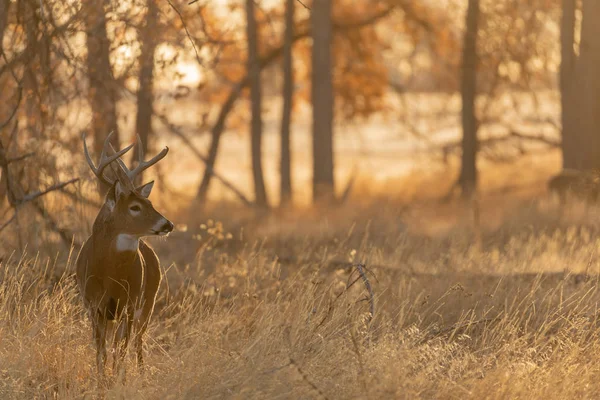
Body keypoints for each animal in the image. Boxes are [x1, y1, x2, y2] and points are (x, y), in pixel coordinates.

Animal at [75, 132, 173, 378]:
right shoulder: (93, 305)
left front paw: (118, 379)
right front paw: (102, 381)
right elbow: (101, 352)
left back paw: (141, 375)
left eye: (150, 202)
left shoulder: (130, 302)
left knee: (137, 342)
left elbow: (120, 351)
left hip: (148, 302)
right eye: (135, 207)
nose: (168, 224)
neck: (109, 275)